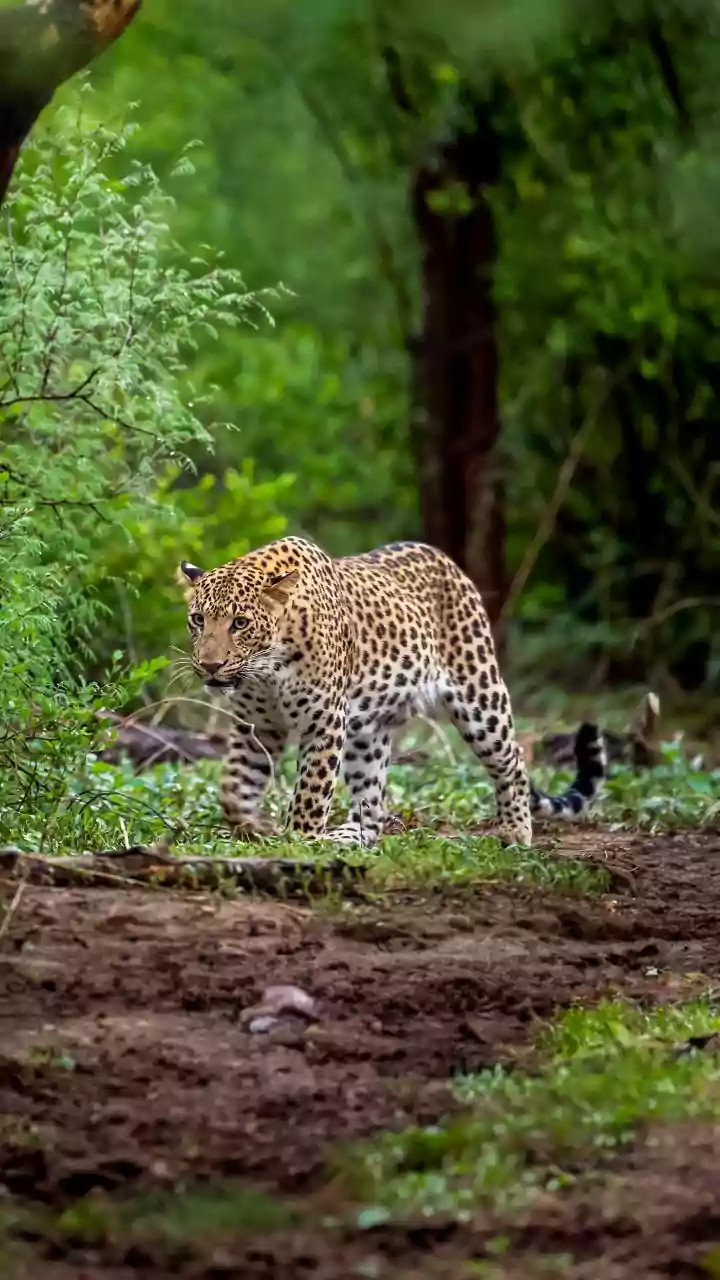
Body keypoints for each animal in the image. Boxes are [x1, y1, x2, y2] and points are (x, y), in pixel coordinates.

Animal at [178, 536, 605, 848]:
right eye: (197, 619)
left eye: (240, 623)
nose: (210, 665)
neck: (266, 669)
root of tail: (444, 558)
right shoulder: (258, 726)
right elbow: (234, 785)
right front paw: (250, 827)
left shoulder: (324, 722)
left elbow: (311, 793)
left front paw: (297, 842)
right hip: (368, 733)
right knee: (373, 804)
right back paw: (346, 837)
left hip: (480, 696)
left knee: (513, 759)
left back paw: (516, 831)